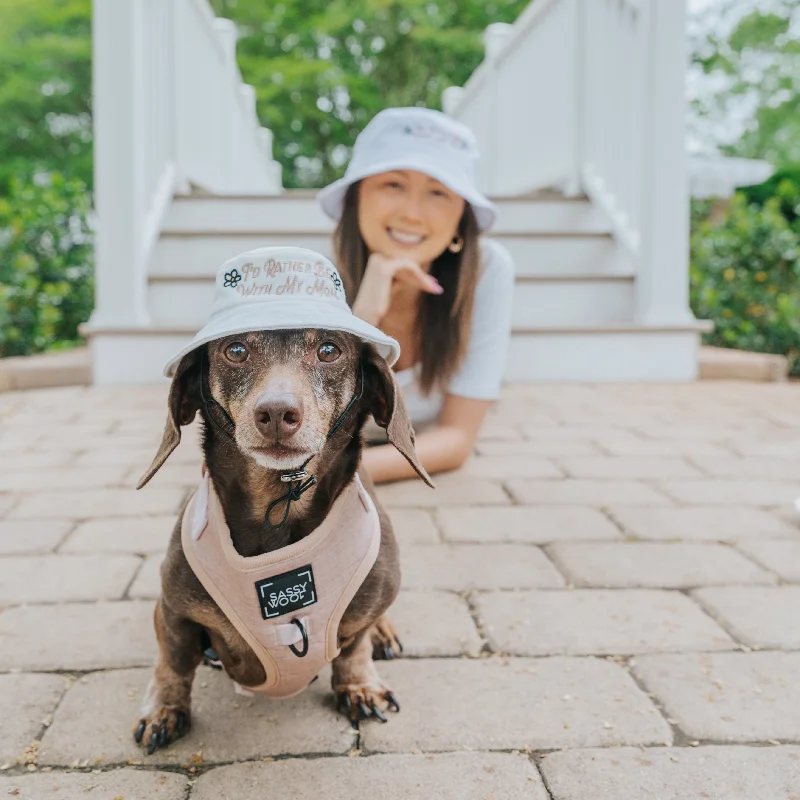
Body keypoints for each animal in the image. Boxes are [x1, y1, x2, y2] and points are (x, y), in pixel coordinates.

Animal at [132, 247, 432, 752]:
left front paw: (359, 685)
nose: (276, 413)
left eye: (329, 350)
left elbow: (353, 646)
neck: (278, 505)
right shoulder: (172, 608)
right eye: (236, 350)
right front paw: (163, 710)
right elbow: (171, 662)